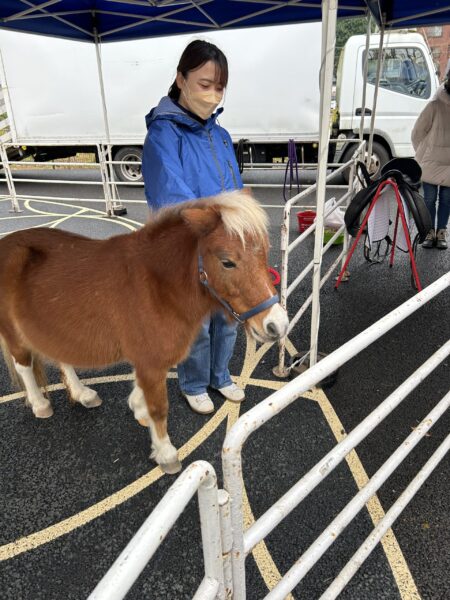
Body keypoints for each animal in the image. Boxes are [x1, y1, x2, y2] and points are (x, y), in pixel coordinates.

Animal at [0, 192, 288, 474]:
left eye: (264, 253)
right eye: (227, 262)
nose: (278, 325)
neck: (157, 287)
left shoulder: (149, 361)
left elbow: (142, 392)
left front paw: (137, 407)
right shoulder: (150, 362)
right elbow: (159, 408)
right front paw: (166, 454)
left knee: (62, 357)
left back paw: (83, 394)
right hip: (14, 333)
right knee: (24, 365)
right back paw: (40, 404)